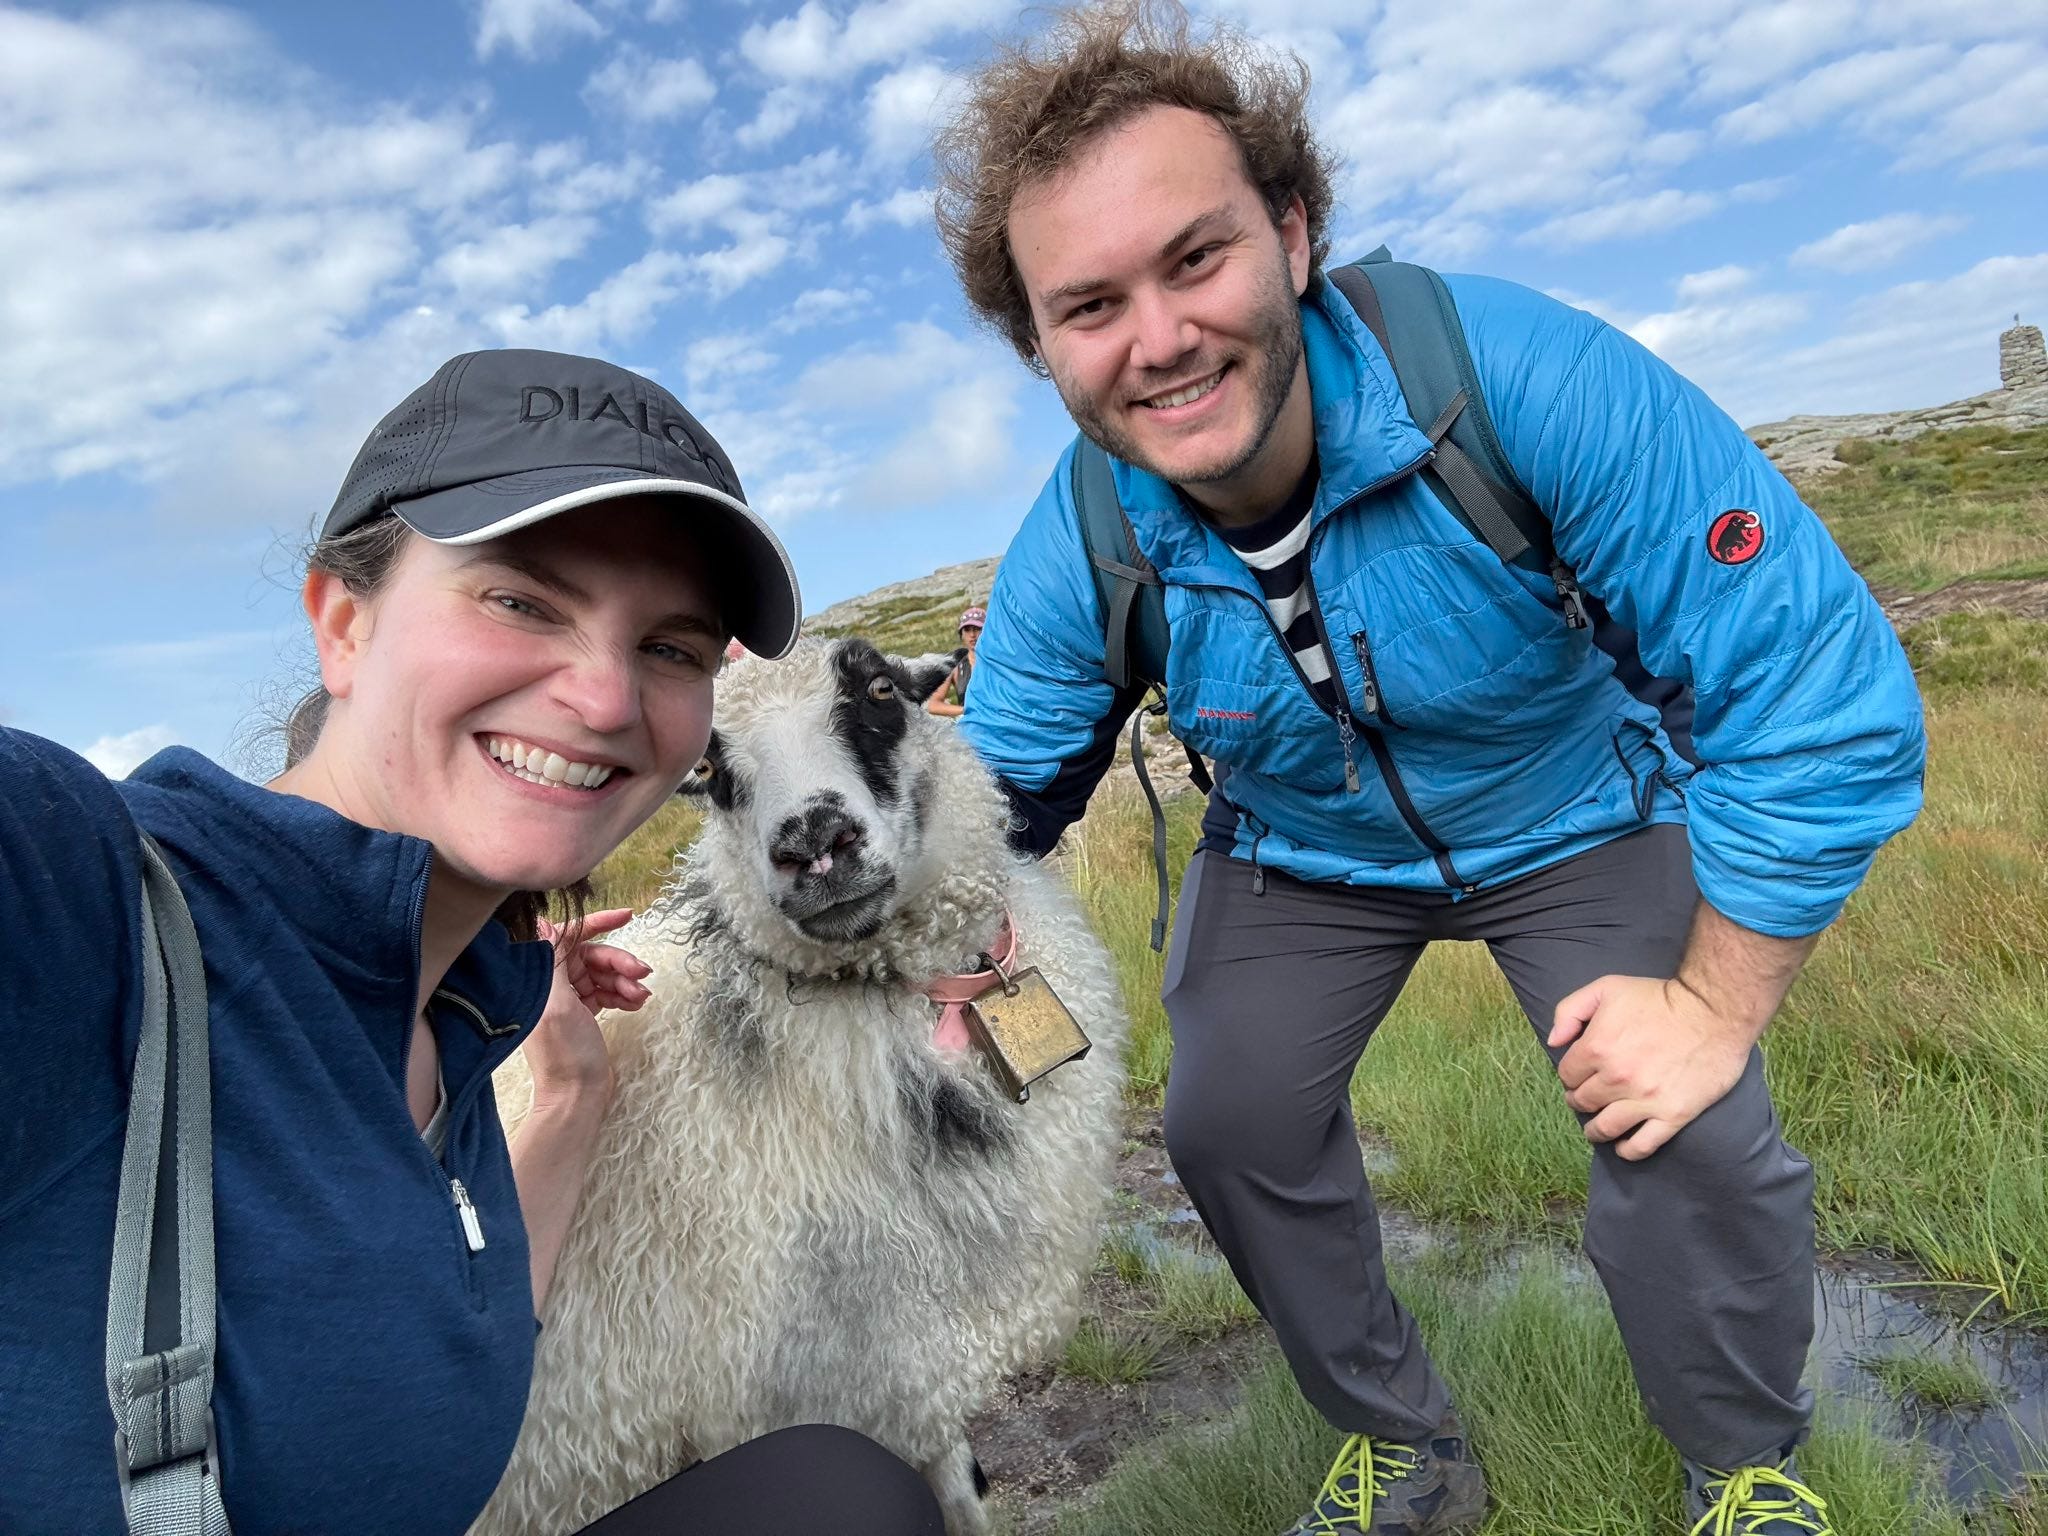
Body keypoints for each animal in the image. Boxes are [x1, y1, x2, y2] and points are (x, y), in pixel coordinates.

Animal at [474, 637, 1130, 1536]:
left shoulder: (904, 1369)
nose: (815, 844)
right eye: (709, 767)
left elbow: (964, 1498)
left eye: (880, 688)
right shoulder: (818, 1390)